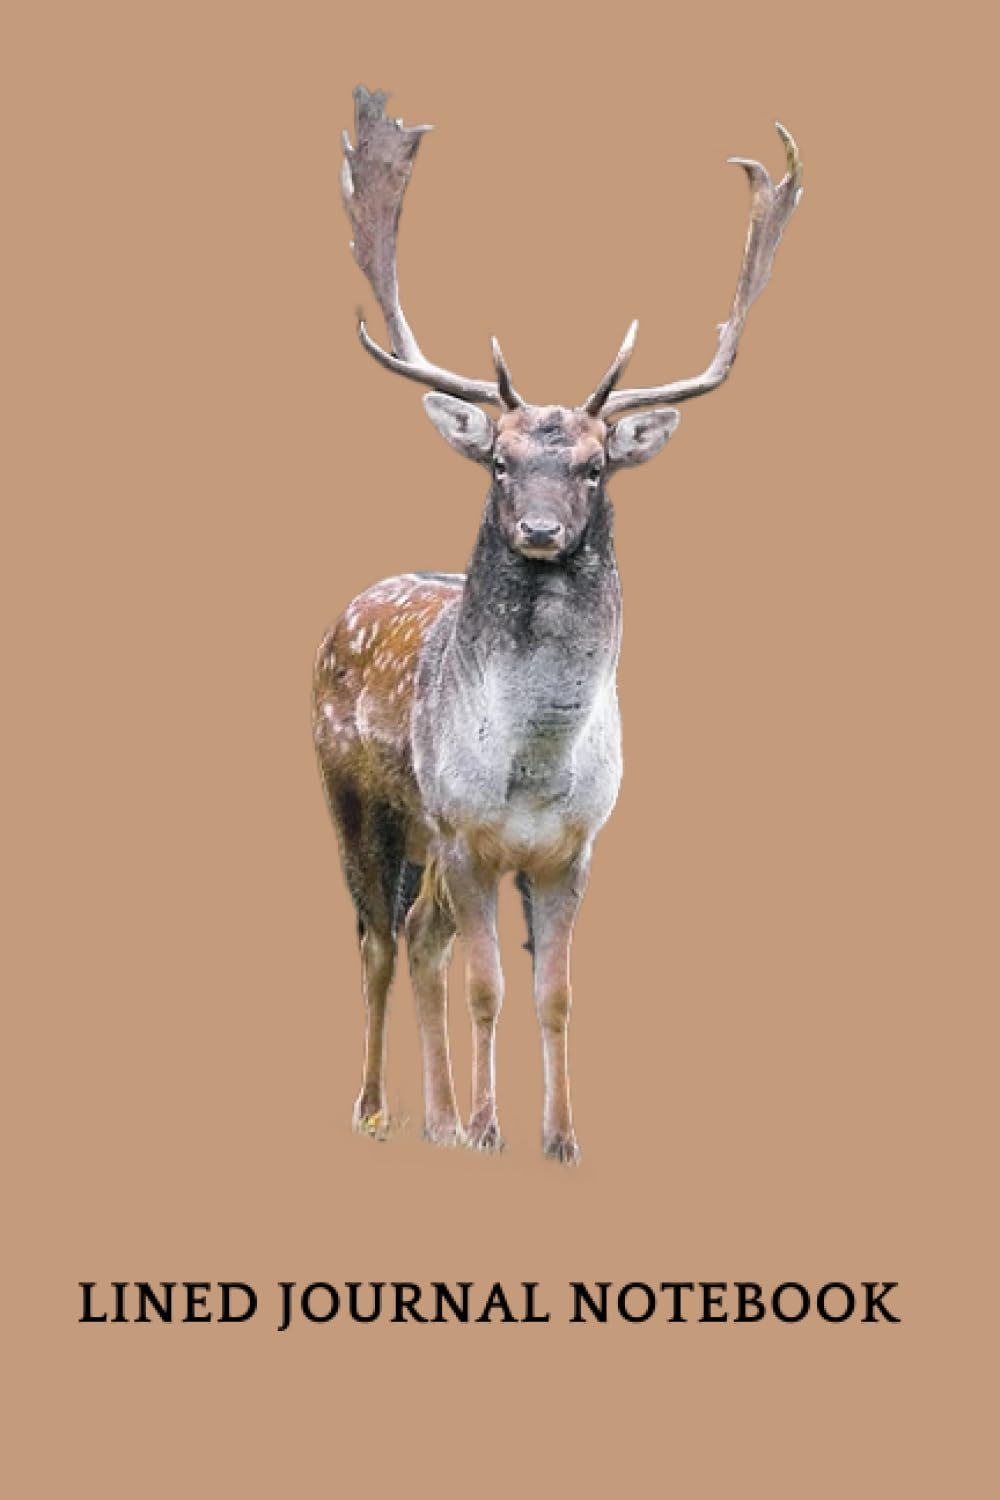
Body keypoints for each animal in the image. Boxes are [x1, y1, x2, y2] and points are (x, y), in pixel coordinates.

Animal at [313, 85, 802, 1163]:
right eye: (498, 461)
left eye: (594, 465)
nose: (539, 529)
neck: (533, 765)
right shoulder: (465, 832)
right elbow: (489, 986)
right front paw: (492, 1130)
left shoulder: (574, 846)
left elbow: (556, 994)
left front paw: (559, 1137)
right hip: (358, 802)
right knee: (377, 941)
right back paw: (375, 1110)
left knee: (416, 939)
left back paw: (435, 1119)